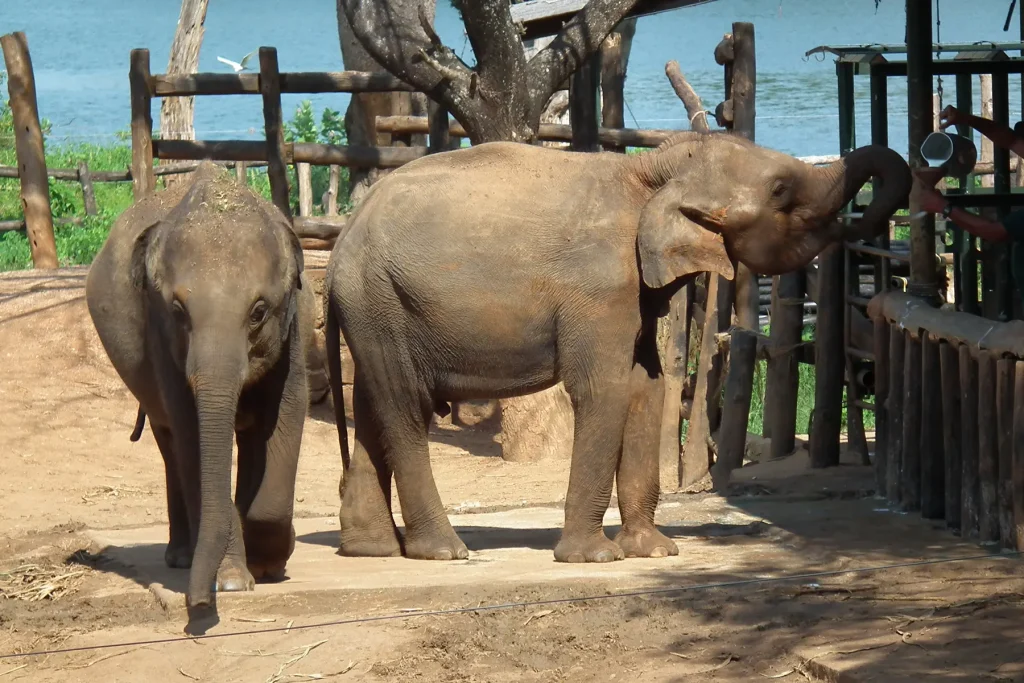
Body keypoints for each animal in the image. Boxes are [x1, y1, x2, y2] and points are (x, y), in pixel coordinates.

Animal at [85, 162, 311, 610]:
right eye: (178, 310)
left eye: (258, 311)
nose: (199, 601)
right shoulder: (160, 334)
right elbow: (191, 432)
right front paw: (232, 581)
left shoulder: (292, 331)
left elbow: (286, 414)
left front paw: (268, 562)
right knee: (170, 441)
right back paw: (183, 557)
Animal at [322, 131, 911, 564]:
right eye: (781, 190)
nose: (865, 231)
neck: (652, 170)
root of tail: (343, 236)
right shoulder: (601, 286)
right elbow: (603, 389)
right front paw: (594, 559)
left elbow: (646, 386)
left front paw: (655, 552)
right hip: (380, 297)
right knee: (405, 405)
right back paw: (445, 552)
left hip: (376, 307)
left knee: (373, 403)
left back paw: (372, 549)